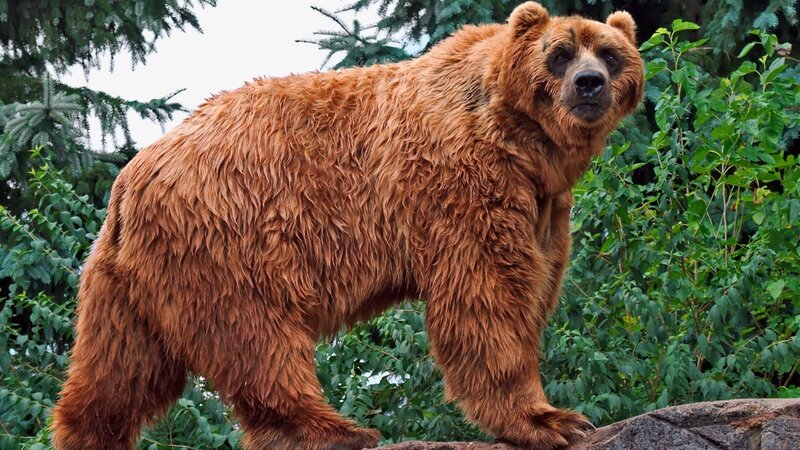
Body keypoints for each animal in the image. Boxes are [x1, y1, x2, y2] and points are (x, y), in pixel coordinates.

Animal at [52, 3, 644, 449]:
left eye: (610, 54)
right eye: (559, 54)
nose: (589, 83)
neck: (523, 142)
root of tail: (131, 179)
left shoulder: (543, 202)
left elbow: (536, 279)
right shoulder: (461, 181)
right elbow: (487, 294)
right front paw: (551, 419)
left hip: (129, 281)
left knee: (119, 370)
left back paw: (87, 434)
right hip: (230, 234)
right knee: (257, 335)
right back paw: (334, 429)